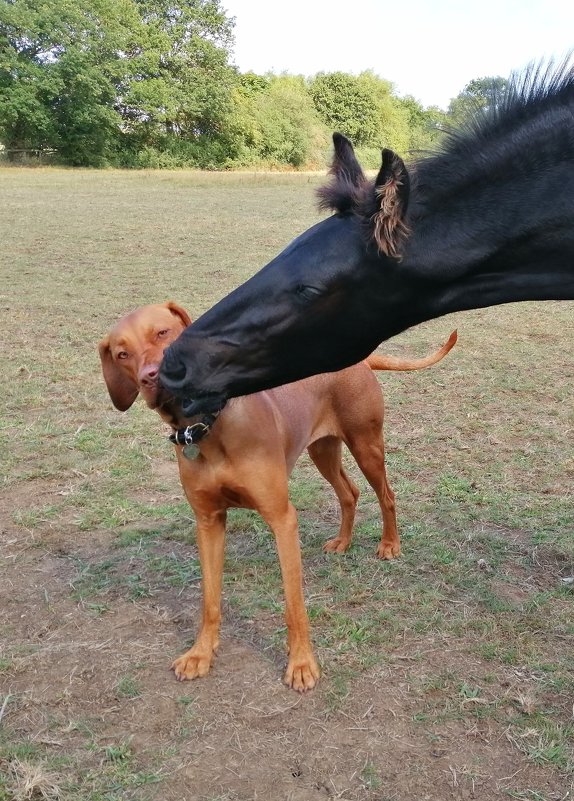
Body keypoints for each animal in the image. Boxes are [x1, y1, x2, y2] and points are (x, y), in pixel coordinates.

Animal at [100, 304, 460, 692]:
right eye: (122, 354)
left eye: (163, 333)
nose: (150, 377)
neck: (208, 426)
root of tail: (359, 362)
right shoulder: (208, 522)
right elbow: (209, 599)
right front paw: (200, 654)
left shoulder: (282, 519)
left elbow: (293, 604)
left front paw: (301, 664)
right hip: (322, 450)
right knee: (349, 492)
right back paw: (343, 542)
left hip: (366, 445)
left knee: (386, 494)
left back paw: (390, 544)